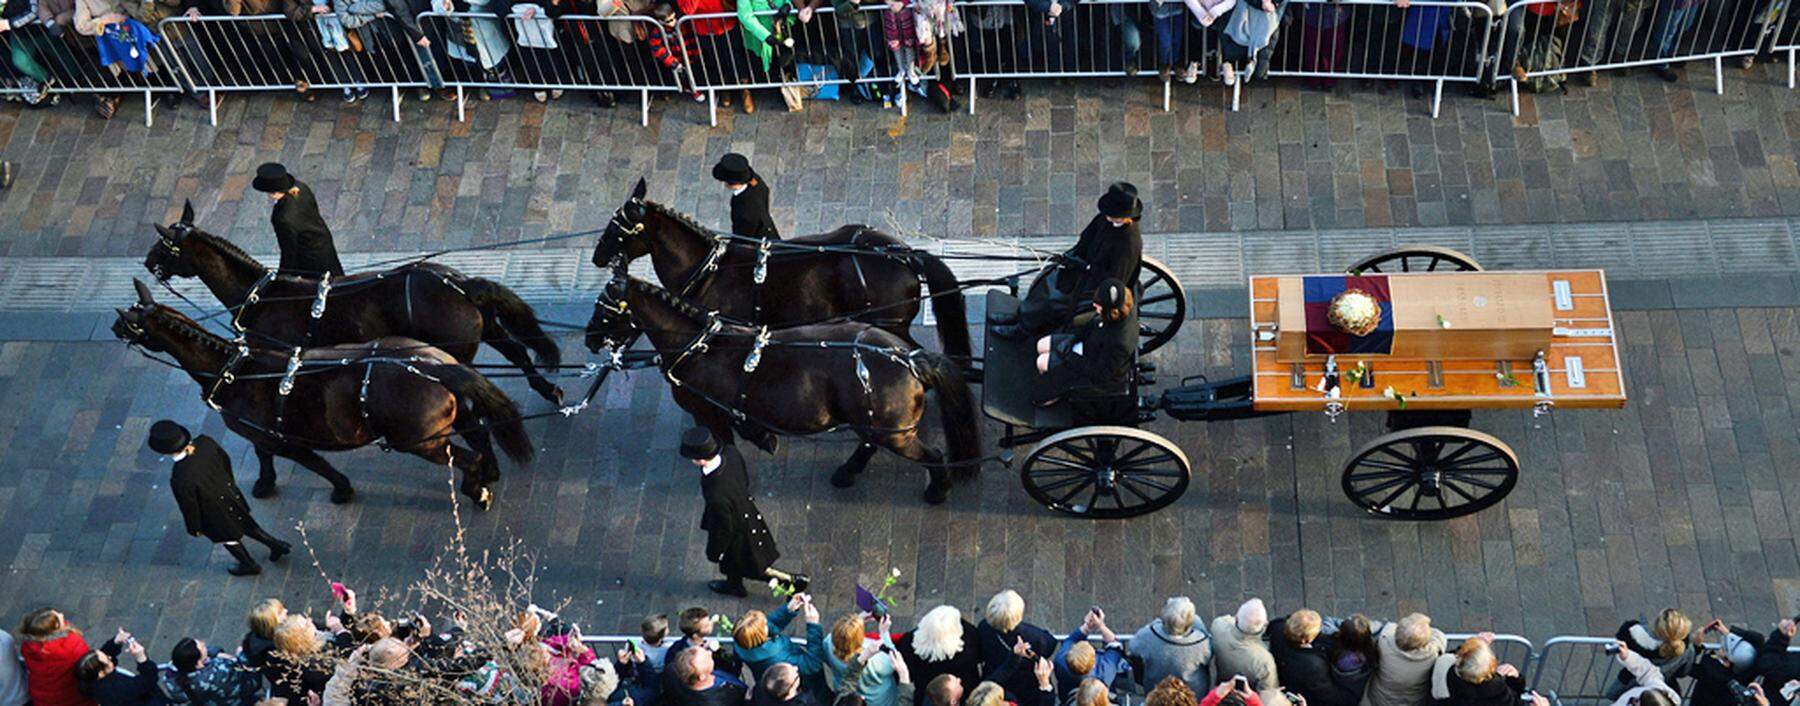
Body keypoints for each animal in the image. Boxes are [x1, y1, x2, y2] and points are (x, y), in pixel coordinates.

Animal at [111, 279, 529, 507]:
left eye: (131, 323)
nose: (114, 328)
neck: (236, 370)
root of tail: (430, 365)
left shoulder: (279, 439)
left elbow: (311, 463)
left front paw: (338, 488)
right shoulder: (272, 437)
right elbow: (270, 457)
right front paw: (267, 481)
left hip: (422, 443)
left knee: (468, 457)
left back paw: (477, 489)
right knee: (479, 434)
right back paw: (489, 472)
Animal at [148, 198, 561, 408]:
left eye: (166, 244)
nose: (150, 264)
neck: (262, 296)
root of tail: (457, 283)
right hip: (485, 329)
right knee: (518, 354)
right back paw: (549, 392)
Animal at [590, 273, 986, 500]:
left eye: (606, 310)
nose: (590, 339)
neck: (702, 346)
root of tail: (909, 358)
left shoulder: (708, 414)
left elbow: (727, 447)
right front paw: (764, 438)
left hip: (893, 432)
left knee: (931, 455)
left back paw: (937, 490)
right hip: (875, 423)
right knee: (869, 443)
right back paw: (847, 473)